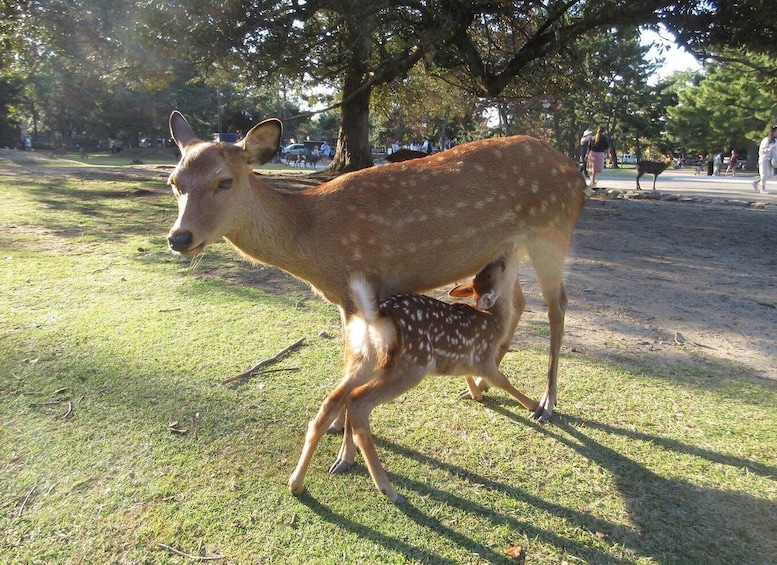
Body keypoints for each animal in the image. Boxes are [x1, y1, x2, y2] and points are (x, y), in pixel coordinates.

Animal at [167, 110, 584, 420]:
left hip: (552, 231)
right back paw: (482, 386)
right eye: (175, 181)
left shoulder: (357, 284)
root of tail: (577, 175)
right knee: (517, 303)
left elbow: (355, 358)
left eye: (224, 181)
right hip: (508, 247)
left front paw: (338, 432)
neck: (312, 239)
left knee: (557, 305)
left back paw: (546, 403)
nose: (179, 237)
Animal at [288, 256, 536, 502]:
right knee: (358, 400)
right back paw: (388, 490)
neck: (495, 321)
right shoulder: (484, 359)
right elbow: (504, 381)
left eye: (487, 271)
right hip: (412, 365)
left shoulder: (465, 361)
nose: (502, 257)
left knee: (333, 401)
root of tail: (374, 318)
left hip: (362, 359)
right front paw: (533, 406)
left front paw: (475, 395)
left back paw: (297, 484)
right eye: (497, 269)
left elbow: (468, 376)